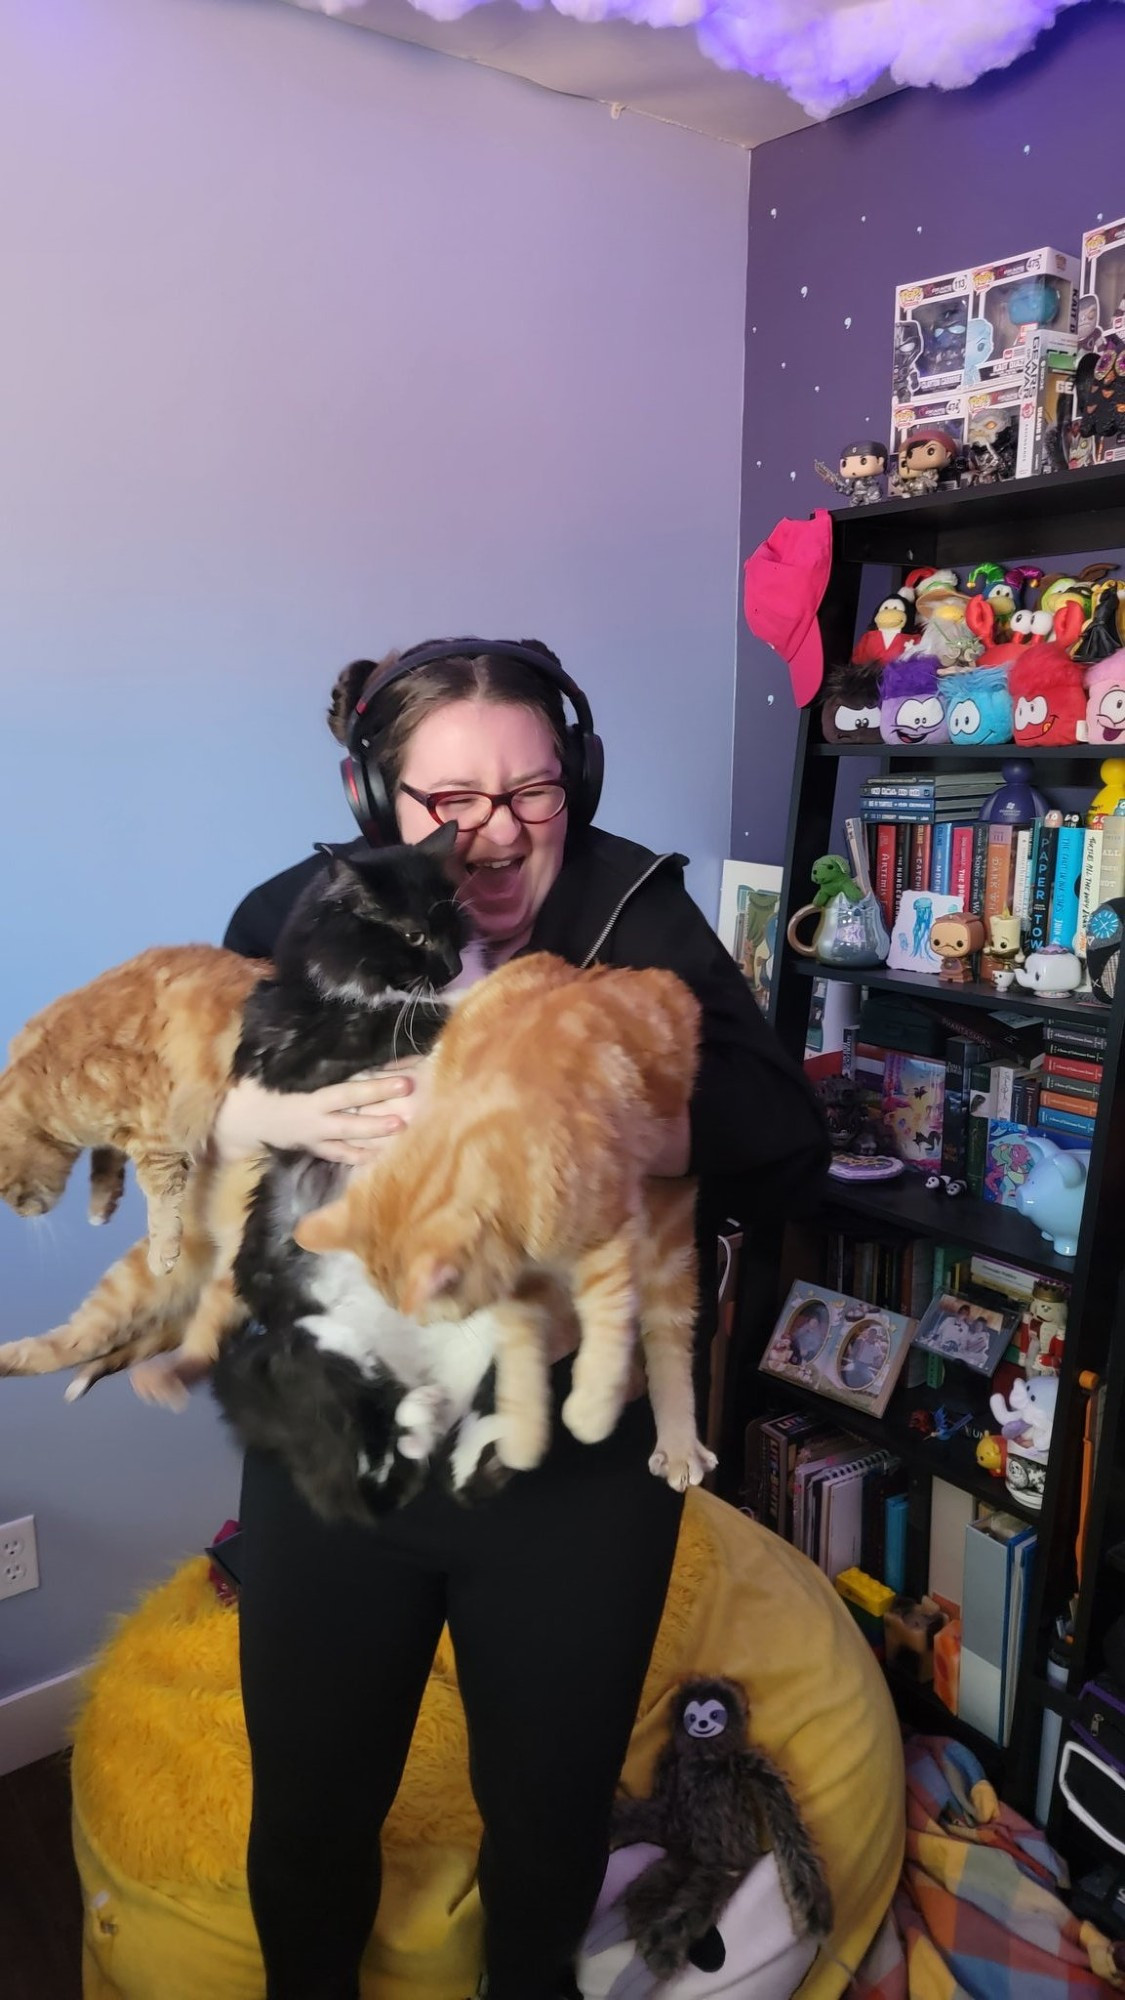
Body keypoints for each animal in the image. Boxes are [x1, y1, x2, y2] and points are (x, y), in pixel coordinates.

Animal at [0, 944, 266, 1272]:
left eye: (2, 1190)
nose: (18, 1214)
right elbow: (105, 1159)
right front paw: (102, 1203)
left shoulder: (155, 1131)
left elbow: (160, 1195)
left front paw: (161, 1251)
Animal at [290, 948, 708, 1488]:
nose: (416, 1322)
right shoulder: (520, 1294)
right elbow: (519, 1364)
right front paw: (523, 1437)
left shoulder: (610, 1238)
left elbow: (610, 1327)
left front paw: (590, 1411)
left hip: (664, 1237)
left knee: (666, 1338)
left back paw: (677, 1442)